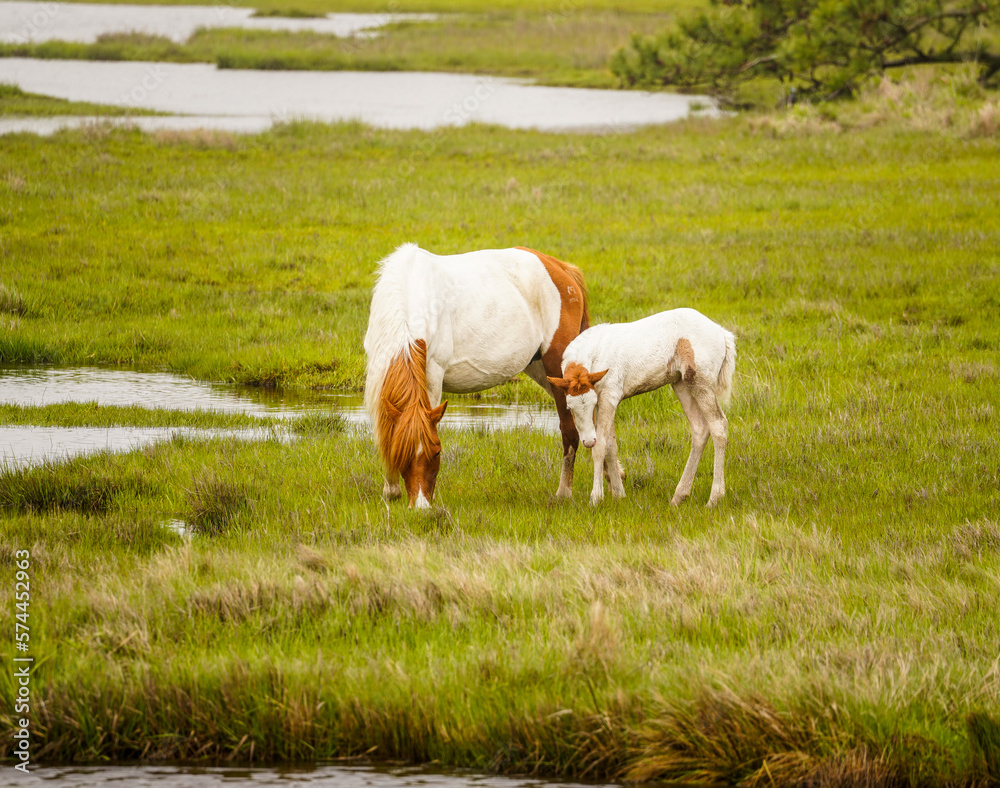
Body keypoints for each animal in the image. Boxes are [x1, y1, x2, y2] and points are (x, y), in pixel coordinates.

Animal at [364, 243, 590, 508]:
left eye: (437, 451)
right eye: (402, 453)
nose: (421, 505)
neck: (408, 296)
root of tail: (561, 269)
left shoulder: (432, 375)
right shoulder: (381, 373)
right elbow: (387, 432)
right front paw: (391, 491)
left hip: (559, 371)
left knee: (570, 429)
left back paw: (565, 492)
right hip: (543, 372)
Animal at [547, 308, 736, 507]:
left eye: (592, 403)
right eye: (569, 408)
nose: (588, 441)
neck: (593, 355)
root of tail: (721, 333)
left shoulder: (608, 398)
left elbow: (601, 447)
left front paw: (596, 497)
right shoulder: (607, 401)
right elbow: (611, 446)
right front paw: (619, 494)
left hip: (701, 382)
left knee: (718, 425)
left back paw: (714, 498)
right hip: (682, 384)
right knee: (700, 429)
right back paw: (679, 496)